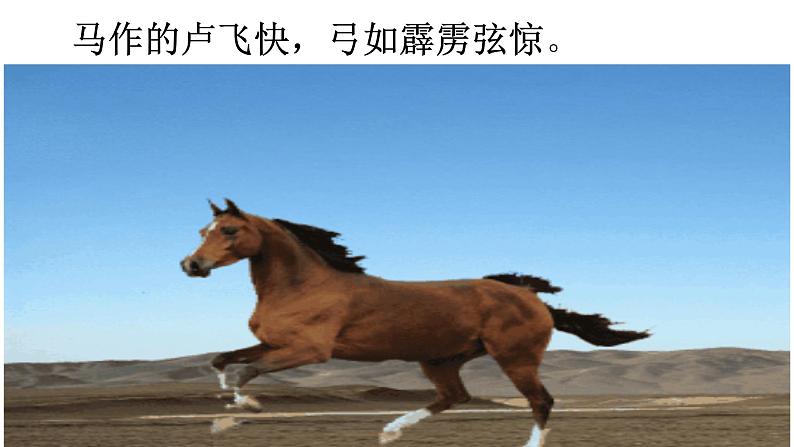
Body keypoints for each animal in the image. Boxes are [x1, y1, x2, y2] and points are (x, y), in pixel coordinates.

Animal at [181, 199, 649, 447]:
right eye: (204, 229)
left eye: (229, 230)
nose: (191, 265)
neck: (301, 285)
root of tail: (529, 295)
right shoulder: (276, 343)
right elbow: (223, 361)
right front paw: (225, 411)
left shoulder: (310, 351)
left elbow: (248, 371)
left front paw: (241, 411)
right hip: (441, 359)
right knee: (455, 396)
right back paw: (391, 430)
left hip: (515, 358)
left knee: (541, 401)